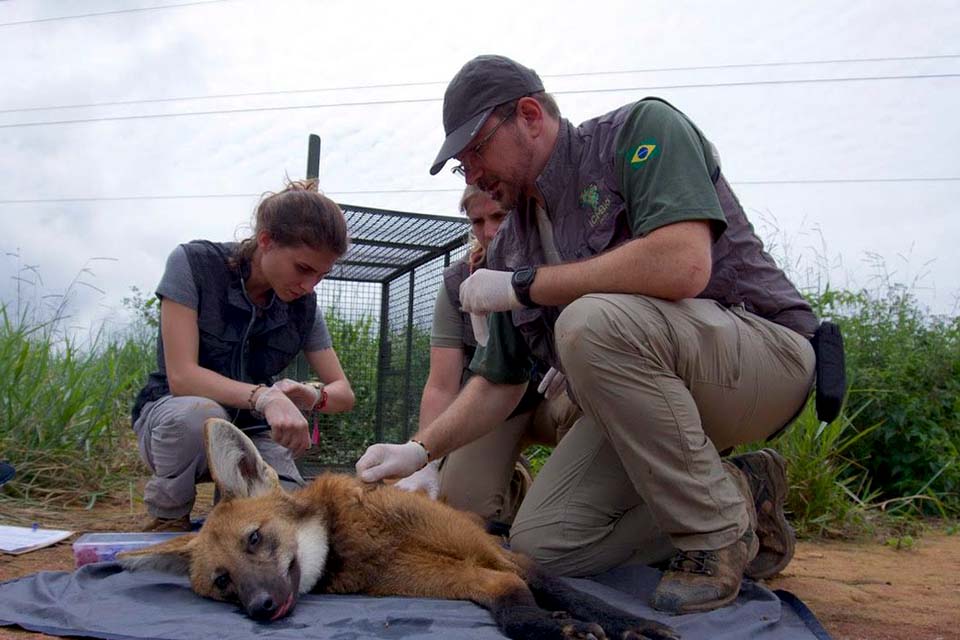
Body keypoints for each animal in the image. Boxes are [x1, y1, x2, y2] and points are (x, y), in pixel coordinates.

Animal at [120, 418, 679, 640]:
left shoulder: (497, 552)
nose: (260, 607)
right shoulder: (439, 576)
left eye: (254, 538)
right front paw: (552, 625)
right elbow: (508, 596)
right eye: (223, 582)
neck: (355, 535)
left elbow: (562, 588)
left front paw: (631, 623)